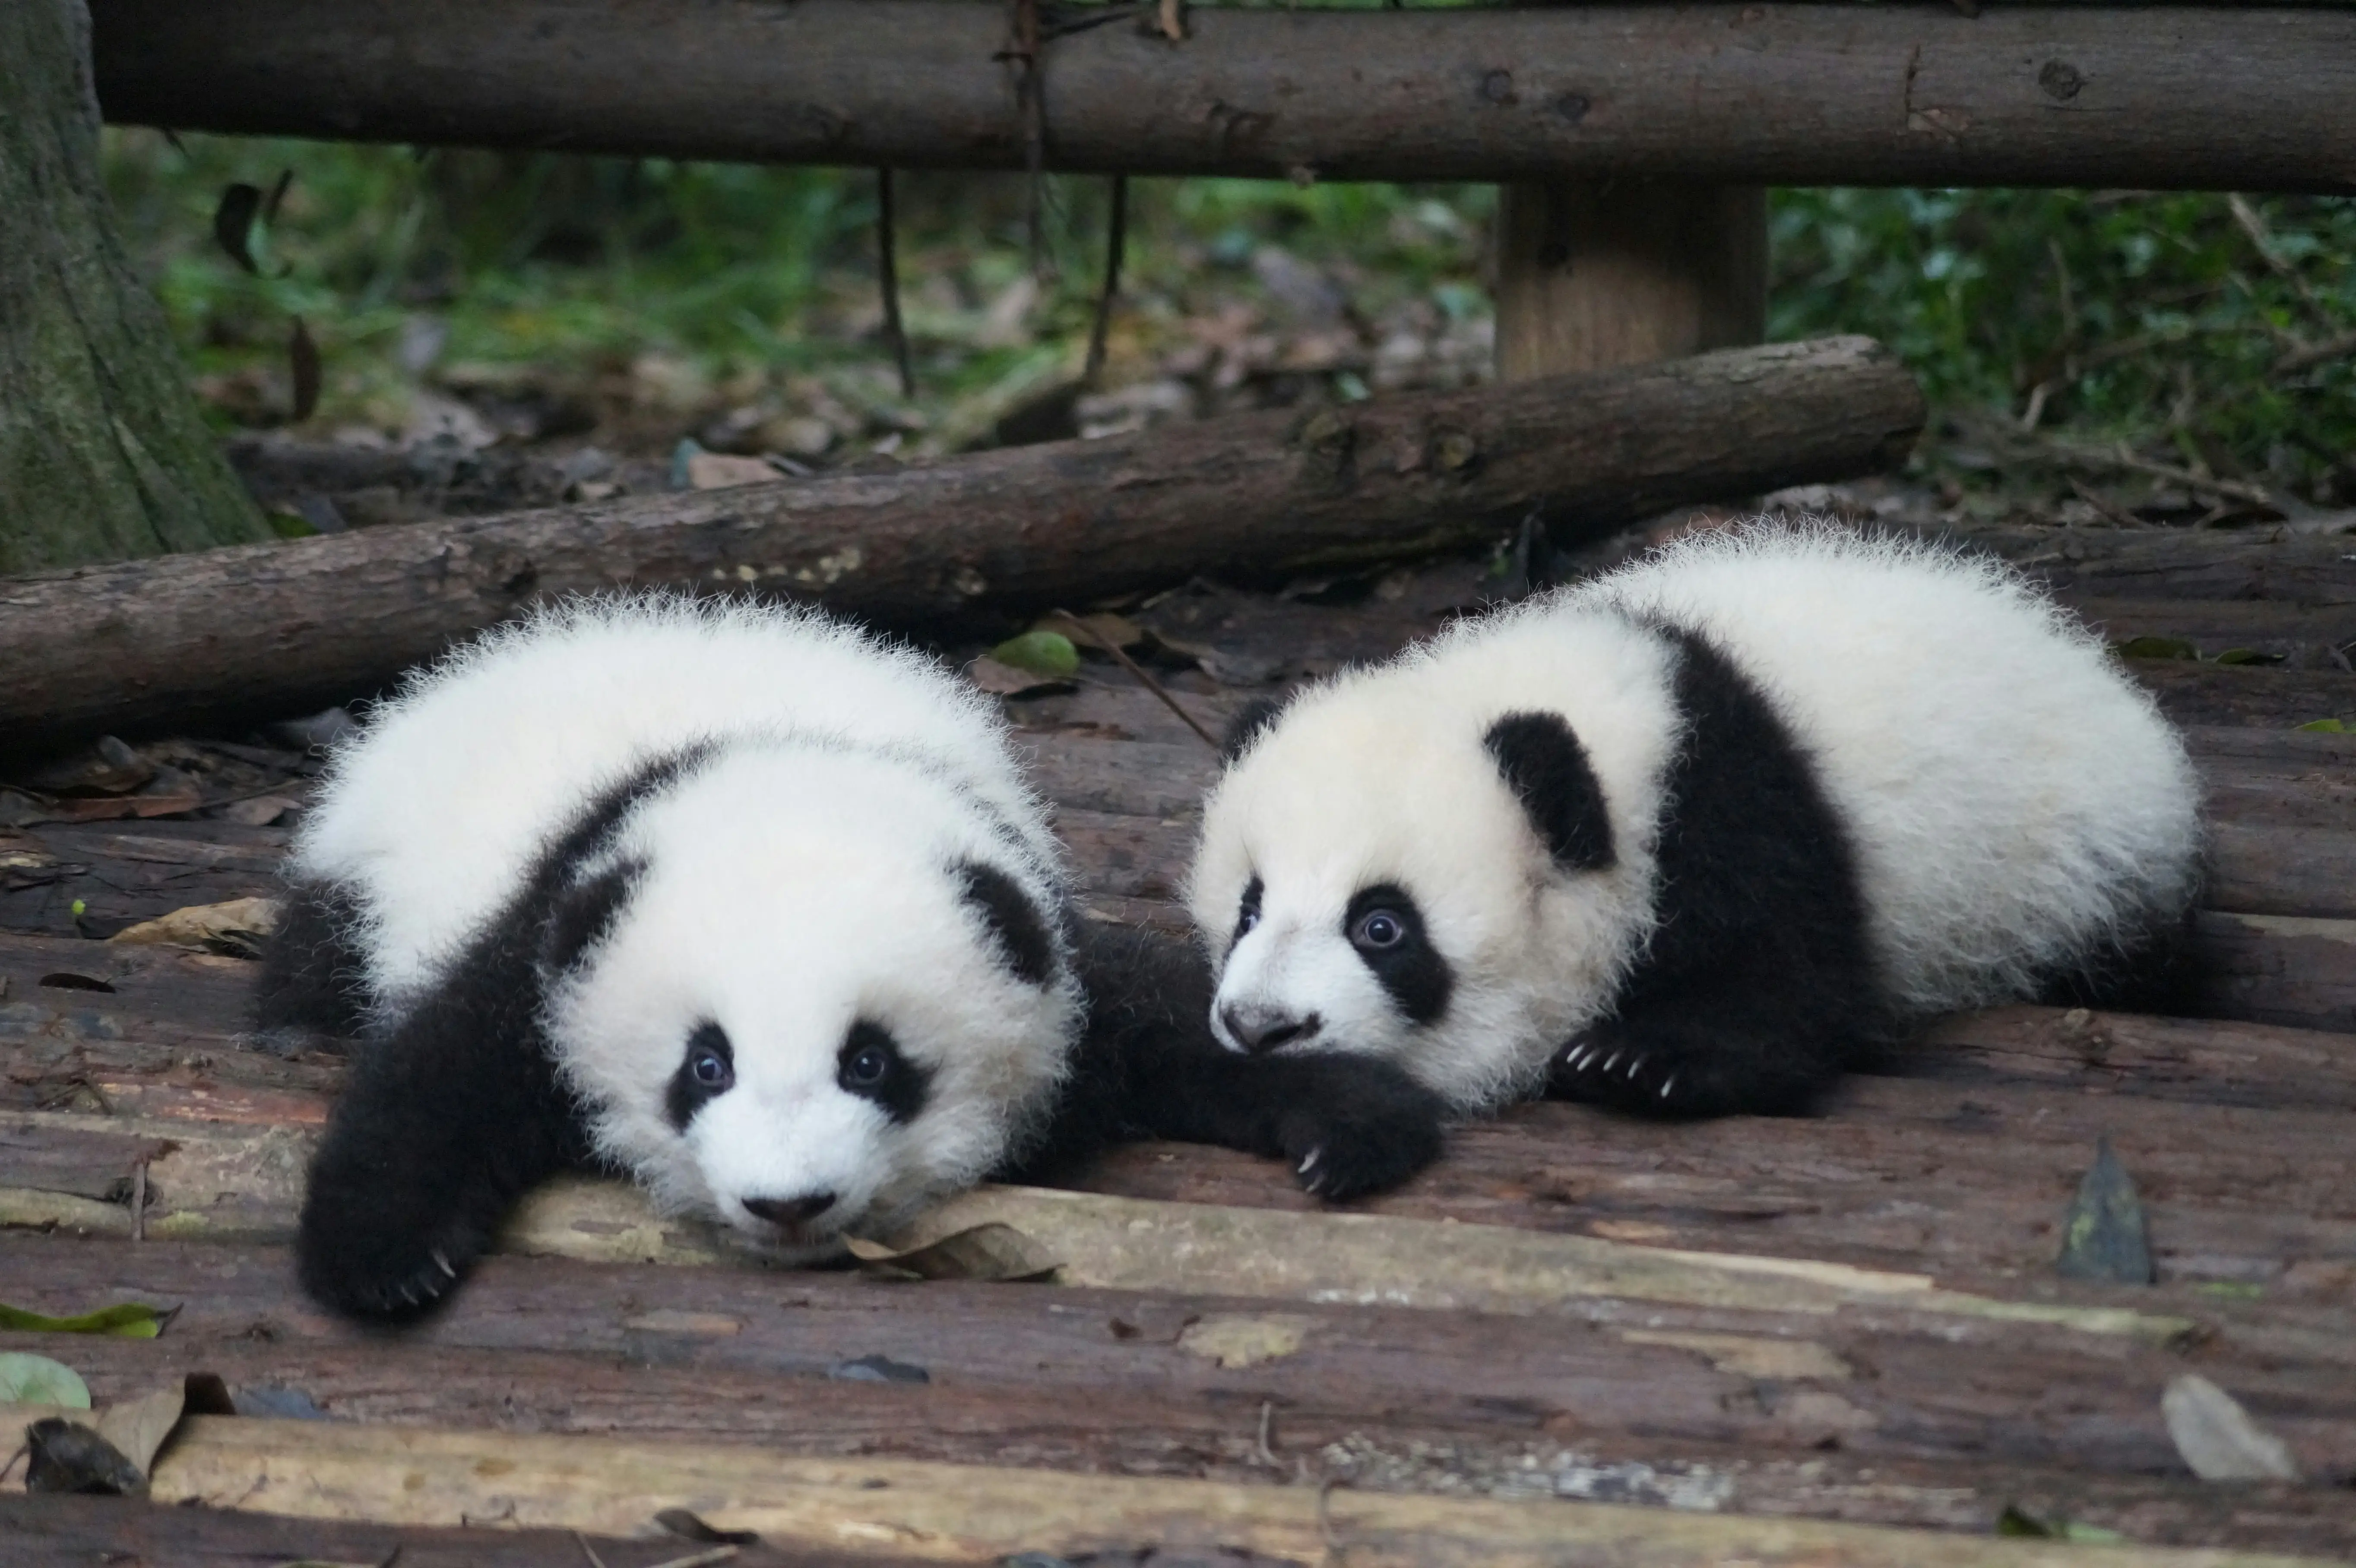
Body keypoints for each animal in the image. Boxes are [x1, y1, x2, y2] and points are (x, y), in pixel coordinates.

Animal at [265, 594, 1441, 1321]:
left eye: (872, 1062)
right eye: (706, 1065)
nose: (788, 1204)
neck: (791, 764)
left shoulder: (1028, 919)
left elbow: (1164, 1018)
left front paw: (1349, 1119)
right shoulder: (562, 916)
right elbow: (444, 1067)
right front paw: (383, 1258)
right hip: (357, 871)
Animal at [1189, 523, 2203, 1119]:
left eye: (1381, 926)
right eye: (1249, 908)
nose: (1260, 1026)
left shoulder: (1738, 804)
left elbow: (1791, 979)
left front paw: (1639, 1061)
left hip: (2081, 868)